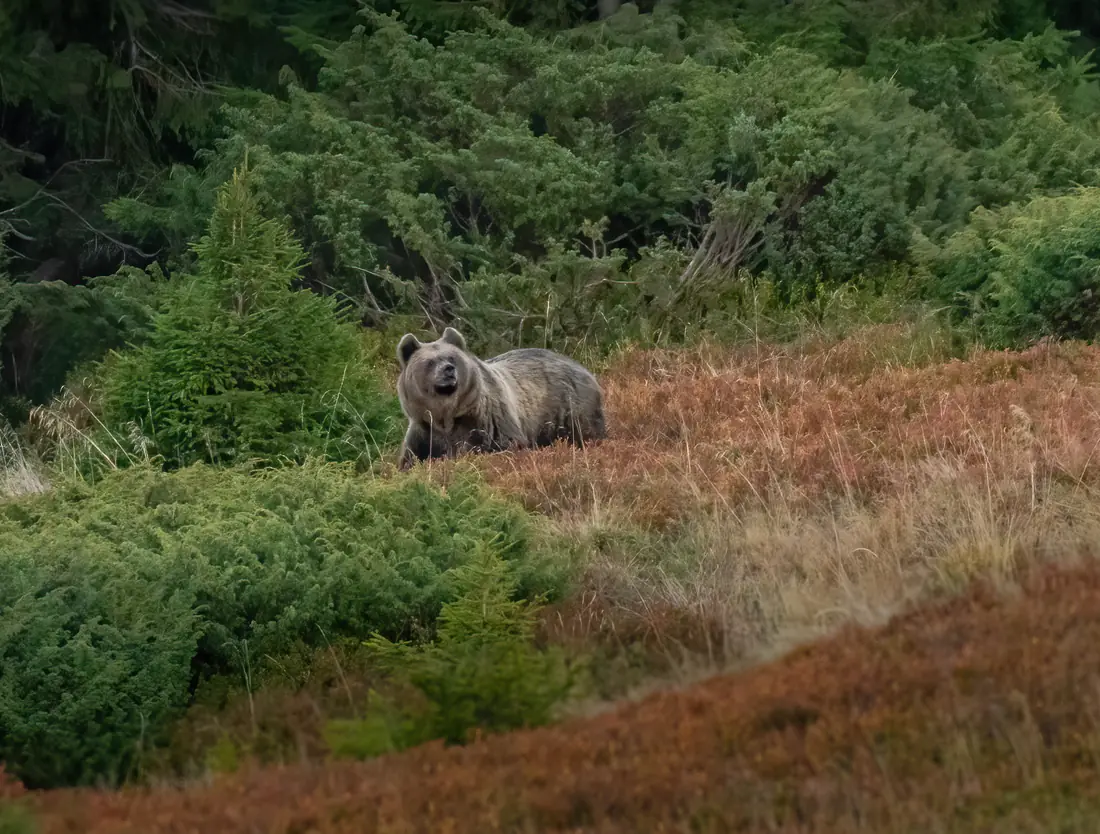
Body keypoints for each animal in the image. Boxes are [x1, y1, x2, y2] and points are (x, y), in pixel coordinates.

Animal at [395, 326, 607, 471]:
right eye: (430, 362)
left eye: (452, 358)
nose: (448, 370)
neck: (447, 417)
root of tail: (584, 368)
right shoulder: (424, 433)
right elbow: (411, 459)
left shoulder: (488, 423)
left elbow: (507, 447)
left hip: (572, 409)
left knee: (589, 433)